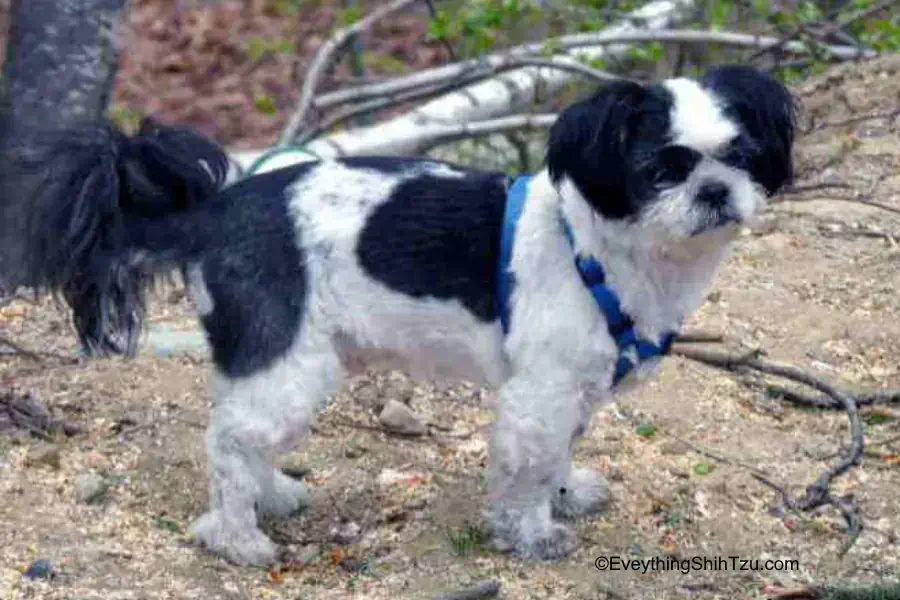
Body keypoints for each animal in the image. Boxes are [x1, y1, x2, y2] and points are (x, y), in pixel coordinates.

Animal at [15, 63, 796, 564]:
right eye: (662, 169)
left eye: (741, 154)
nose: (715, 190)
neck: (607, 243)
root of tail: (214, 213)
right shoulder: (539, 391)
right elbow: (529, 465)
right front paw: (531, 533)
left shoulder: (572, 389)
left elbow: (560, 453)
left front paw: (567, 492)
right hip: (289, 359)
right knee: (231, 442)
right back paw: (237, 538)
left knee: (243, 432)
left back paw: (272, 496)